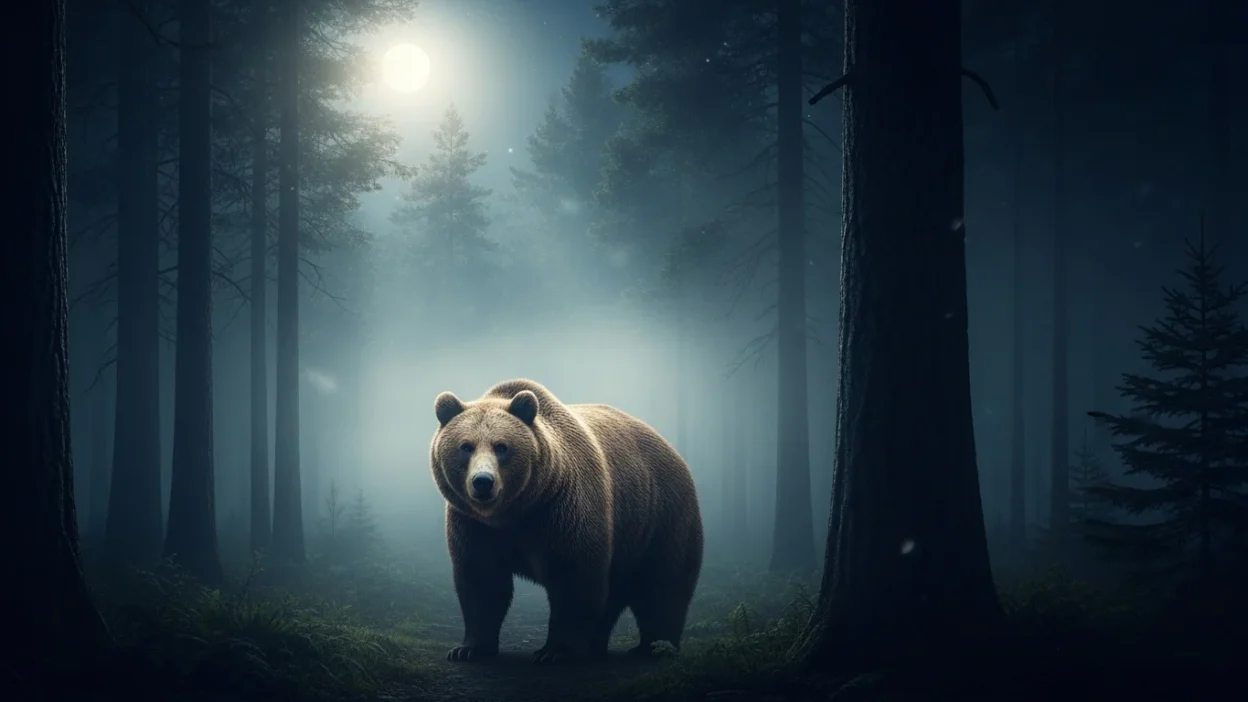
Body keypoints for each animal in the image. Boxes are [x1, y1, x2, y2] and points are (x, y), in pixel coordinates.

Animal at [429, 378, 704, 664]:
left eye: (501, 446)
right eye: (466, 446)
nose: (483, 482)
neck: (516, 511)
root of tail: (671, 449)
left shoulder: (563, 510)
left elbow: (574, 578)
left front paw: (555, 652)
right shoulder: (474, 525)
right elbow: (481, 579)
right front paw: (468, 649)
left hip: (661, 515)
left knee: (662, 585)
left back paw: (655, 646)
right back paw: (597, 646)